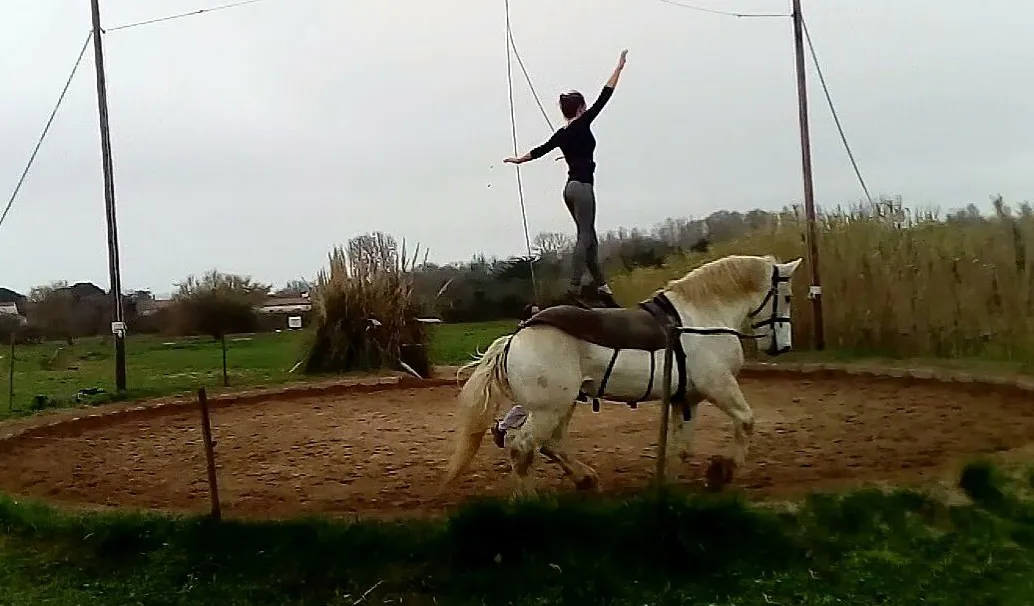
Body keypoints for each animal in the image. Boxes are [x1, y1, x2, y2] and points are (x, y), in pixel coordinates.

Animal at [440, 252, 802, 492]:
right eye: (786, 296)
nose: (783, 346)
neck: (701, 320)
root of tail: (515, 338)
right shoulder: (719, 386)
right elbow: (746, 421)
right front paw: (722, 471)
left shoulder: (687, 399)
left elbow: (680, 448)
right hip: (548, 409)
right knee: (522, 447)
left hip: (563, 405)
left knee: (551, 444)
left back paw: (585, 479)